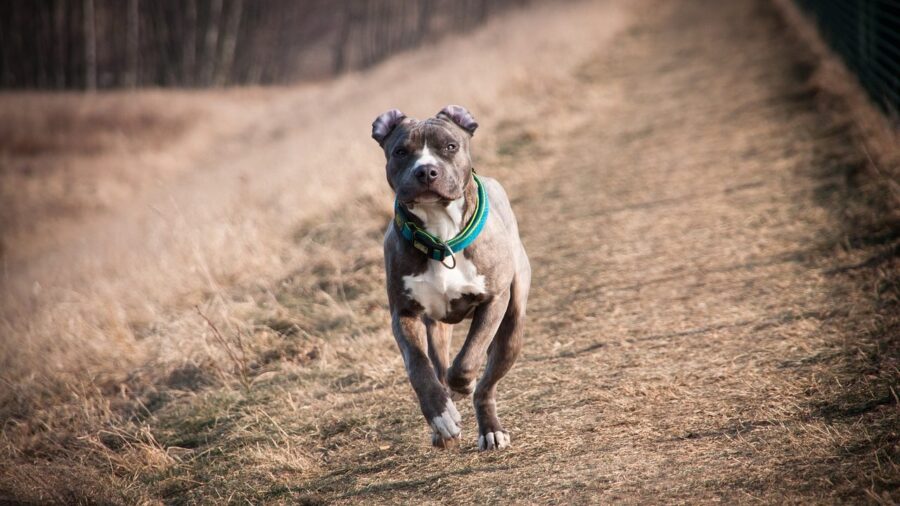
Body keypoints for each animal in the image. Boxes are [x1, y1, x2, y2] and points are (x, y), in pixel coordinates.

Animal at [370, 104, 532, 450]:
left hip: (513, 326)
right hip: (437, 327)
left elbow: (469, 358)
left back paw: (490, 429)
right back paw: (443, 423)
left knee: (486, 385)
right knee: (439, 364)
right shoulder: (403, 314)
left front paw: (463, 386)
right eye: (401, 151)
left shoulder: (494, 300)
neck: (441, 234)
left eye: (450, 146)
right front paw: (441, 416)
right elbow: (419, 368)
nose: (426, 171)